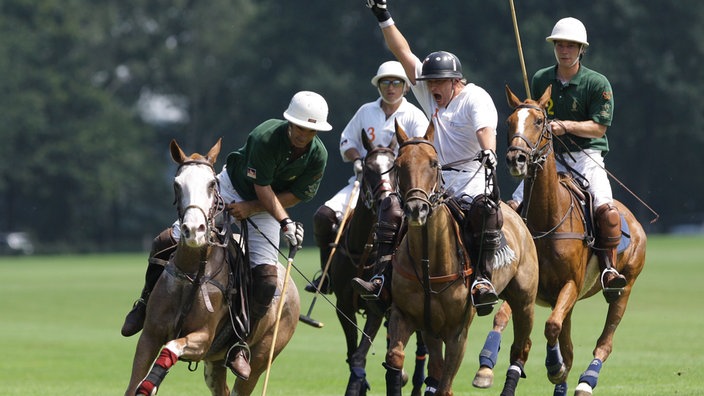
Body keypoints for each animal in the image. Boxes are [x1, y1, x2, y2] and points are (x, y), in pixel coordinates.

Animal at [126, 139, 300, 396]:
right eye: (177, 184)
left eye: (211, 184)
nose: (193, 230)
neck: (192, 273)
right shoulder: (150, 335)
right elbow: (134, 383)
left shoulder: (203, 338)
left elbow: (172, 347)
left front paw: (150, 383)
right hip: (215, 363)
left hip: (262, 357)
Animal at [382, 123, 536, 396]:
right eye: (398, 164)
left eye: (433, 163)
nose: (416, 209)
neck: (428, 263)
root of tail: (516, 215)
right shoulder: (407, 316)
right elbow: (396, 358)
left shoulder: (458, 332)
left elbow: (445, 386)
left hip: (525, 301)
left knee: (521, 349)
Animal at [476, 86, 648, 396]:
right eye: (508, 122)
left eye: (539, 122)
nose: (516, 159)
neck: (547, 220)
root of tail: (635, 221)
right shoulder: (528, 286)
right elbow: (503, 319)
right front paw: (486, 366)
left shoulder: (570, 284)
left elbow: (551, 326)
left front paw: (554, 367)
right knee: (568, 342)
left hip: (624, 286)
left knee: (604, 341)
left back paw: (585, 381)